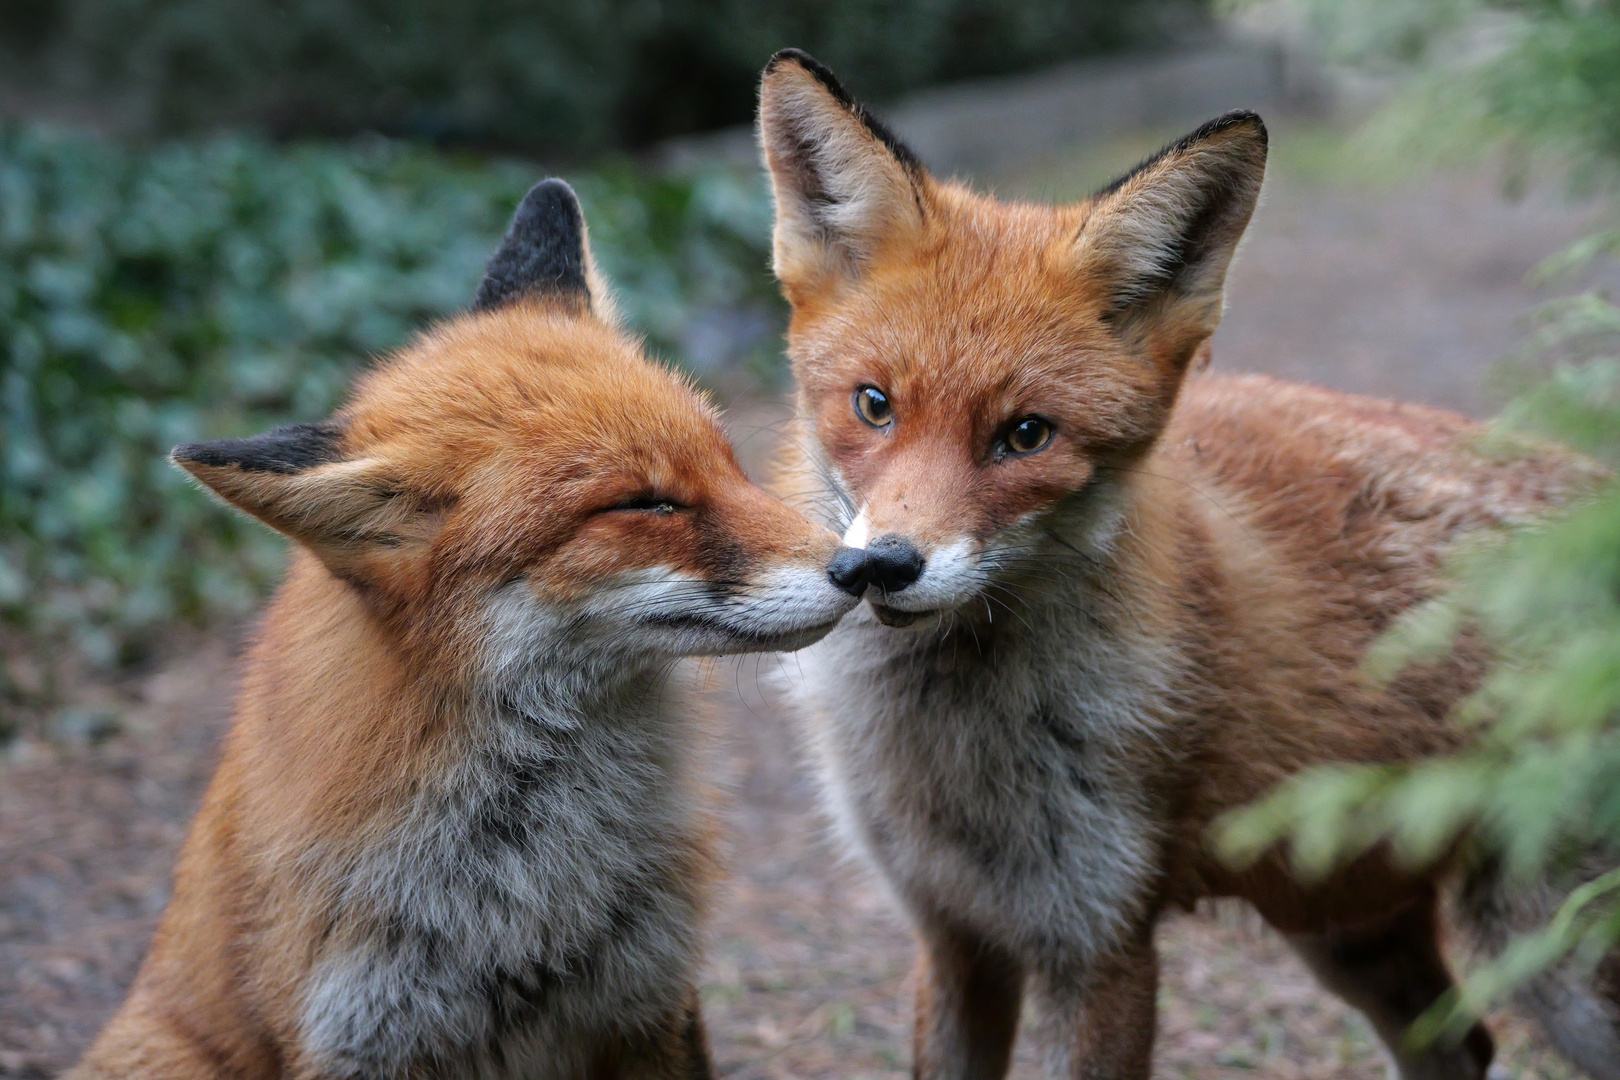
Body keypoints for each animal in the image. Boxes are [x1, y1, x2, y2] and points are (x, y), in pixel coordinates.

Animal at [69, 179, 868, 1080]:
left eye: (726, 459)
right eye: (644, 503)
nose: (864, 566)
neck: (519, 888)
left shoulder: (650, 998)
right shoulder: (358, 1034)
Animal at [758, 44, 1620, 1080]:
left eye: (1026, 436)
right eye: (874, 405)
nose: (884, 565)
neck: (949, 751)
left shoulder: (1099, 940)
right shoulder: (951, 931)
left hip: (1557, 963)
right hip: (1349, 930)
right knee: (1464, 1043)